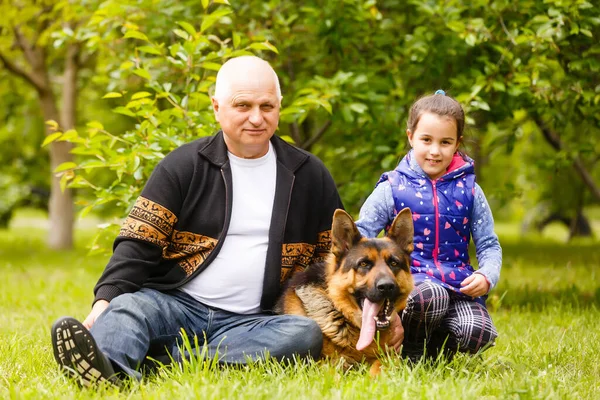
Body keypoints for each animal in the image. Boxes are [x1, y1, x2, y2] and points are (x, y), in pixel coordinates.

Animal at [276, 208, 412, 374]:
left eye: (394, 263)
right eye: (364, 264)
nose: (386, 286)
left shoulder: (389, 358)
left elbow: (379, 367)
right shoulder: (322, 365)